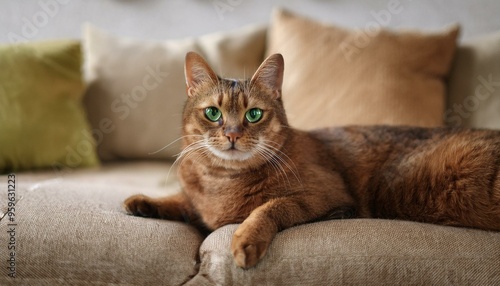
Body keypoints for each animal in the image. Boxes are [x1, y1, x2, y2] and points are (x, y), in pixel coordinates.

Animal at [124, 52, 500, 270]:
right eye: (213, 113)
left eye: (254, 114)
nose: (231, 134)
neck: (222, 180)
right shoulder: (198, 203)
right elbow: (182, 202)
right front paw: (145, 201)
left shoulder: (326, 198)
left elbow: (269, 207)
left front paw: (246, 239)